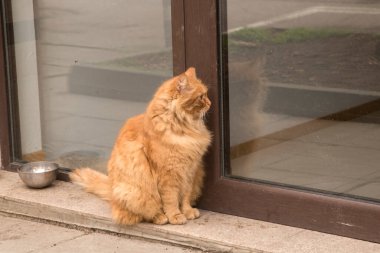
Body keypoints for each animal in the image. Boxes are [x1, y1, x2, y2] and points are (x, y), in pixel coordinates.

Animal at [70, 67, 212, 225]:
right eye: (201, 97)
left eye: (206, 94)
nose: (210, 103)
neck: (183, 128)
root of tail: (112, 190)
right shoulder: (168, 175)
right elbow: (171, 200)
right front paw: (175, 216)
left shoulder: (190, 171)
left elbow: (185, 197)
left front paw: (187, 212)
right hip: (136, 192)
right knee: (145, 213)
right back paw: (161, 218)